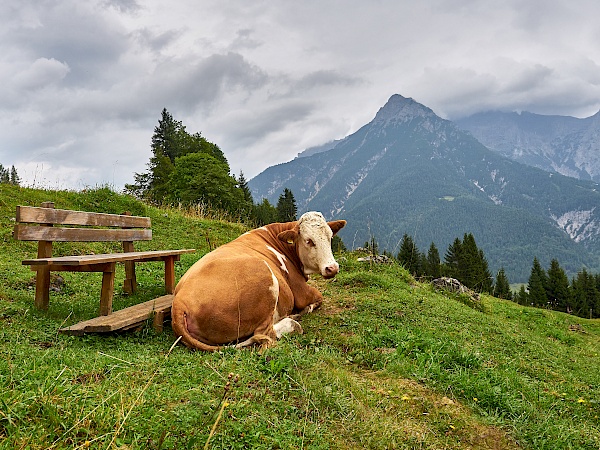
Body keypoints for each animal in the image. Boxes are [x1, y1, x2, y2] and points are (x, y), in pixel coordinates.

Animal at [170, 211, 346, 352]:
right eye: (309, 240)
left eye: (330, 237)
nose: (332, 268)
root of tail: (179, 302)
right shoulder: (300, 291)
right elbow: (318, 298)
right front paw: (305, 310)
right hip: (265, 276)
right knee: (265, 334)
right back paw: (293, 322)